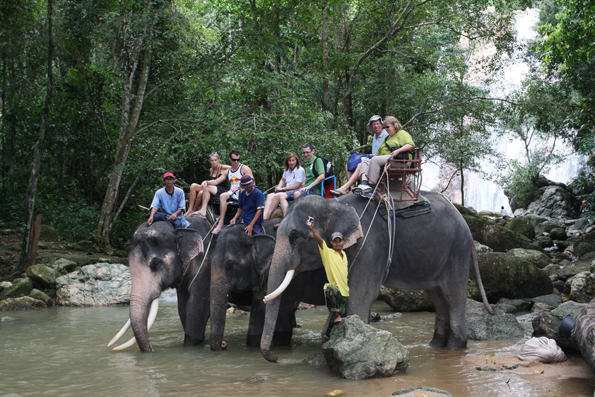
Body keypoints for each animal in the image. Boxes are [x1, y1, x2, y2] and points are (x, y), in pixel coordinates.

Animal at [108, 217, 213, 352]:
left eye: (155, 263)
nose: (152, 350)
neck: (179, 228)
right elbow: (183, 308)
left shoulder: (205, 270)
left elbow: (196, 311)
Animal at [210, 218, 326, 352]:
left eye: (230, 265)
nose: (224, 344)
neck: (261, 230)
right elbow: (259, 309)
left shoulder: (295, 276)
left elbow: (285, 308)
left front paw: (280, 347)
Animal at [260, 193, 494, 362]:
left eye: (294, 236)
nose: (275, 358)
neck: (335, 204)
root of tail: (466, 225)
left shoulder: (370, 246)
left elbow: (361, 296)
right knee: (438, 298)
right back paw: (435, 346)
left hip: (457, 252)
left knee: (453, 297)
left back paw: (455, 348)